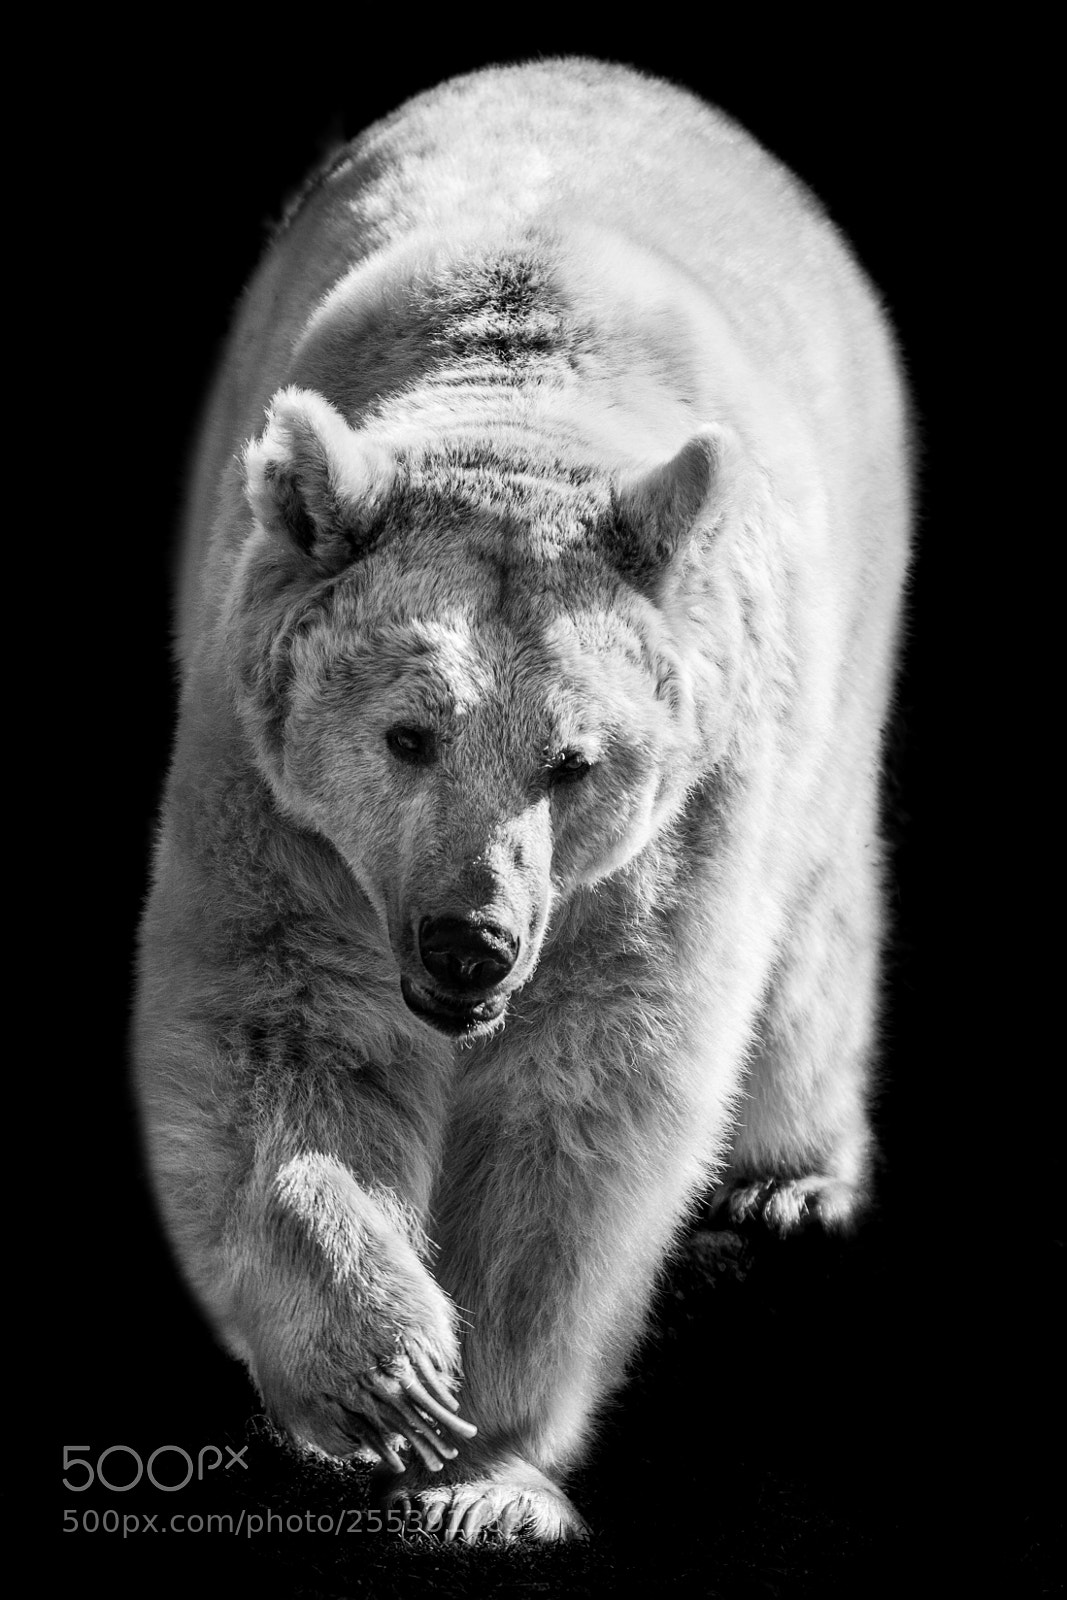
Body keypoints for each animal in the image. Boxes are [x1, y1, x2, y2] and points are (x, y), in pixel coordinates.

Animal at [134, 57, 911, 1543]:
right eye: (407, 734)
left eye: (574, 760)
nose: (469, 944)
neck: (514, 411)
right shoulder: (270, 802)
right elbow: (276, 1033)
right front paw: (379, 1379)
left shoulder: (678, 828)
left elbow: (589, 1097)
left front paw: (482, 1466)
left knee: (815, 919)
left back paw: (787, 1176)